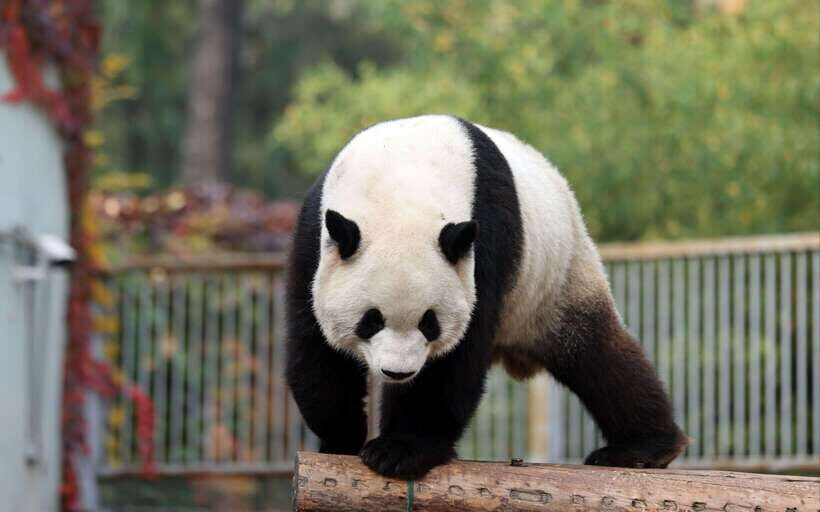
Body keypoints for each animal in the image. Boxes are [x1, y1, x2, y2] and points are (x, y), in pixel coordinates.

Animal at [285, 115, 686, 480]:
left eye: (430, 323)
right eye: (371, 320)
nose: (398, 372)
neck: (401, 188)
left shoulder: (485, 243)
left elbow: (455, 357)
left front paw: (400, 450)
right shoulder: (315, 238)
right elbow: (315, 344)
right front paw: (341, 440)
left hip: (557, 279)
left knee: (599, 356)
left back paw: (643, 448)